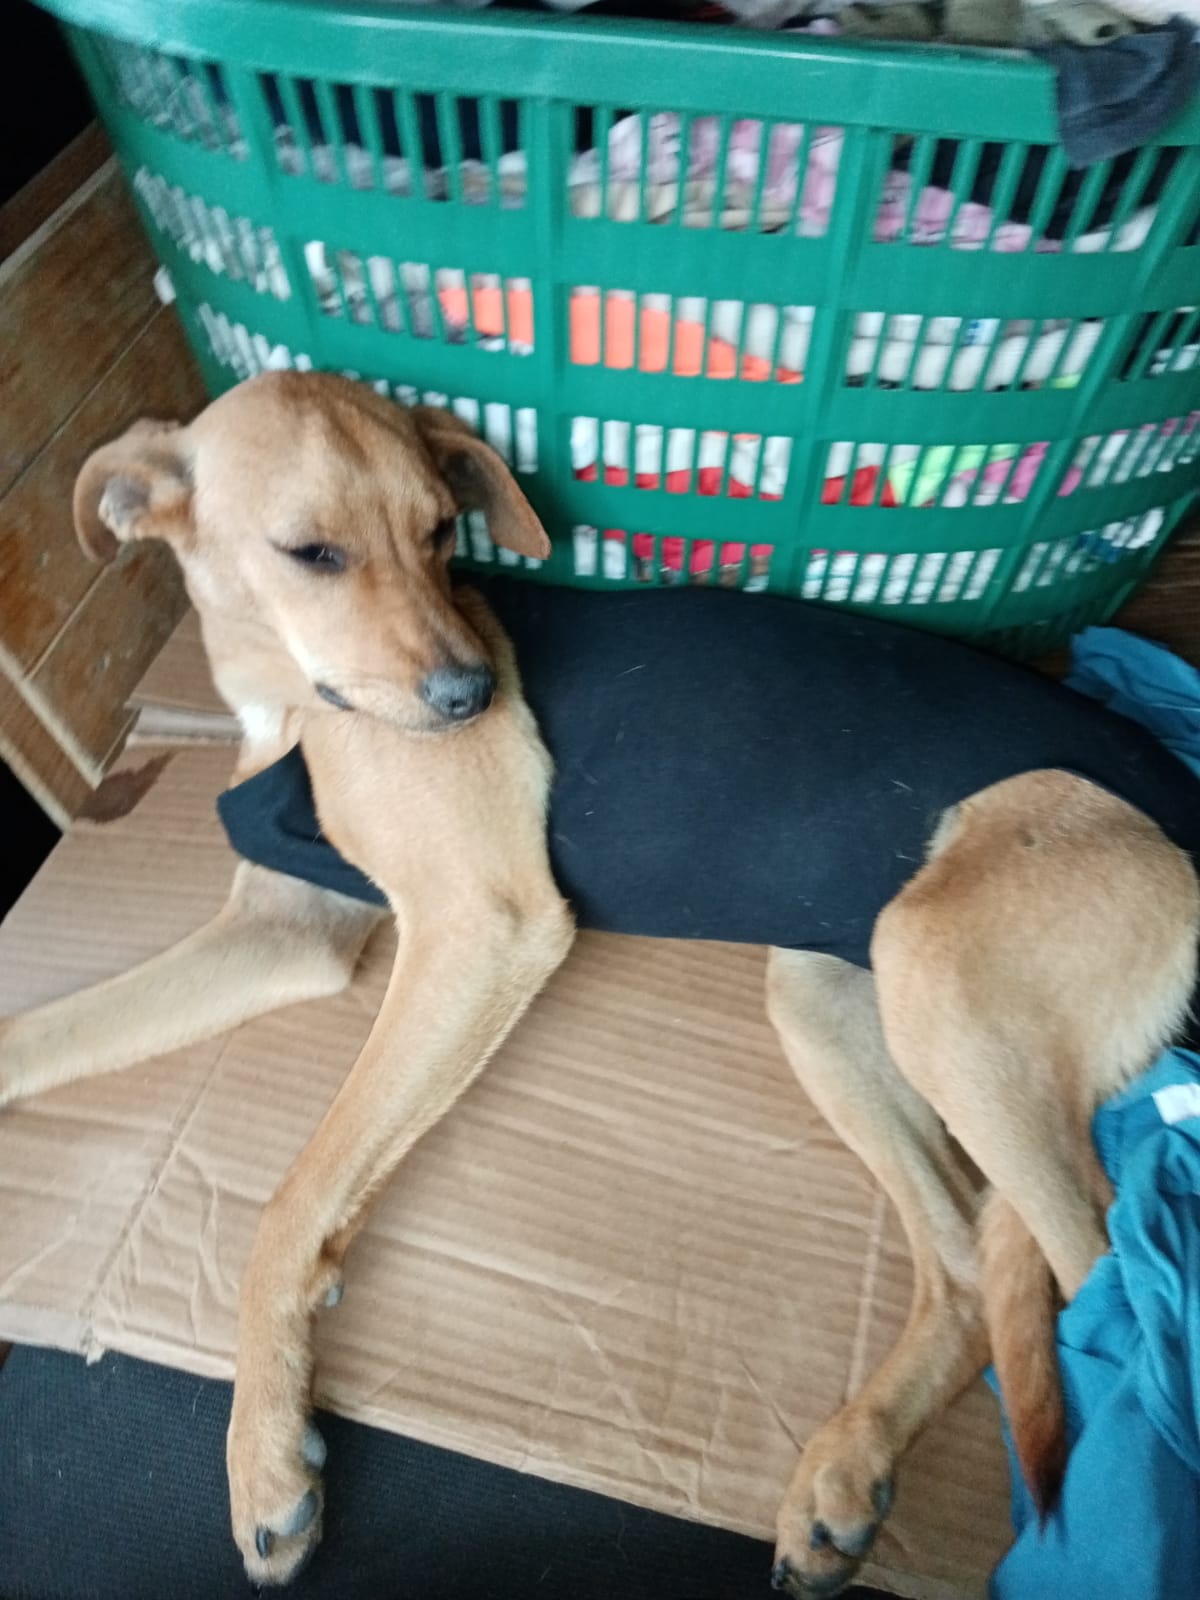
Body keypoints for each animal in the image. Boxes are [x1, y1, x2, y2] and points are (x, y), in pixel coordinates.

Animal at [2, 371, 1197, 1598]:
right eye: (312, 553)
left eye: (442, 532)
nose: (473, 696)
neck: (293, 700)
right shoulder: (290, 929)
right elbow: (46, 1035)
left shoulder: (484, 931)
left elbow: (290, 1200)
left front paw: (267, 1454)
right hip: (832, 995)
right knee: (966, 1272)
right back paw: (846, 1473)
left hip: (942, 987)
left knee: (1109, 1278)